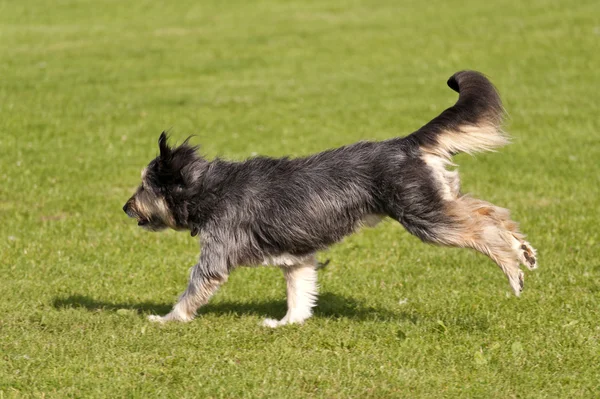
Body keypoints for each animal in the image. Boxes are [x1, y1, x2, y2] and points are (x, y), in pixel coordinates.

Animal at [123, 71, 540, 328]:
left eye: (144, 186)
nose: (125, 207)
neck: (208, 187)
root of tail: (405, 144)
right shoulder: (296, 258)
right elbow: (300, 293)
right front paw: (286, 324)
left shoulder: (217, 253)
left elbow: (193, 289)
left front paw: (166, 319)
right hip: (436, 202)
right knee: (491, 211)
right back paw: (523, 248)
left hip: (424, 217)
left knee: (484, 231)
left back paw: (512, 267)